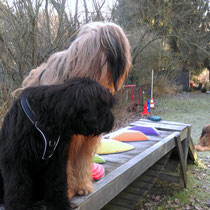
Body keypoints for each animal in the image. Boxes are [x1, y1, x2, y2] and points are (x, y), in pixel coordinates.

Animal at [0, 77, 115, 210]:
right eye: (105, 105)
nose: (112, 121)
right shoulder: (16, 159)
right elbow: (18, 186)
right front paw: (20, 206)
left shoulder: (57, 159)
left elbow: (57, 183)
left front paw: (60, 203)